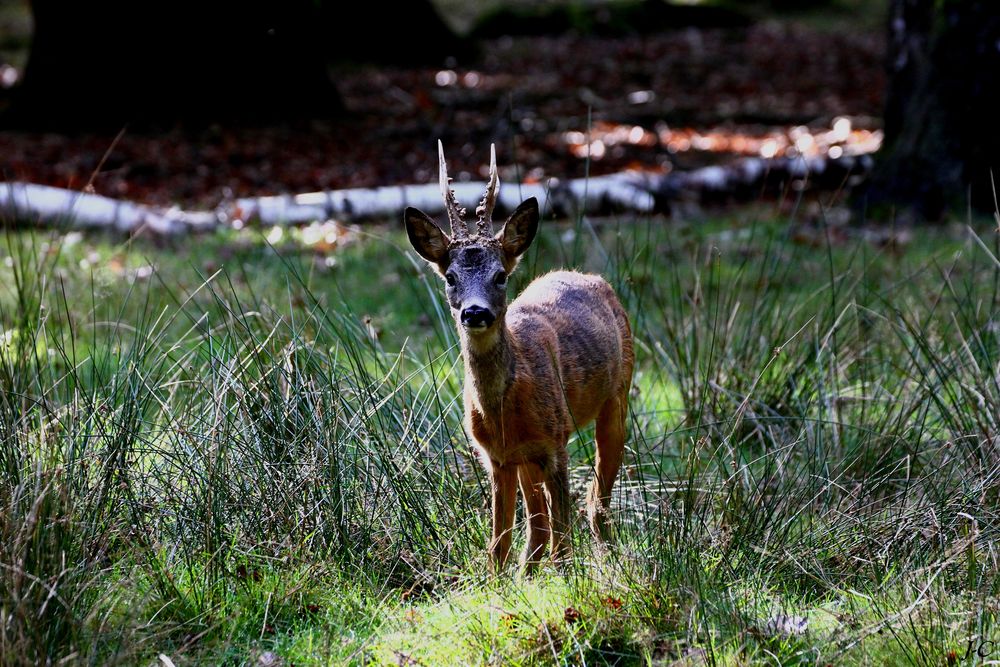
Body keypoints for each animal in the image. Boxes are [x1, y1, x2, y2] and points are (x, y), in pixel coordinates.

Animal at [404, 142, 632, 576]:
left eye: (500, 276)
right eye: (450, 278)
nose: (475, 312)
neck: (504, 411)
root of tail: (589, 277)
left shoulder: (555, 443)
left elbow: (562, 541)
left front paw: (568, 583)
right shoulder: (495, 458)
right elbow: (499, 544)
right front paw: (500, 583)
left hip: (618, 395)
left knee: (595, 502)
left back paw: (608, 559)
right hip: (526, 458)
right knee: (538, 528)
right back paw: (530, 573)